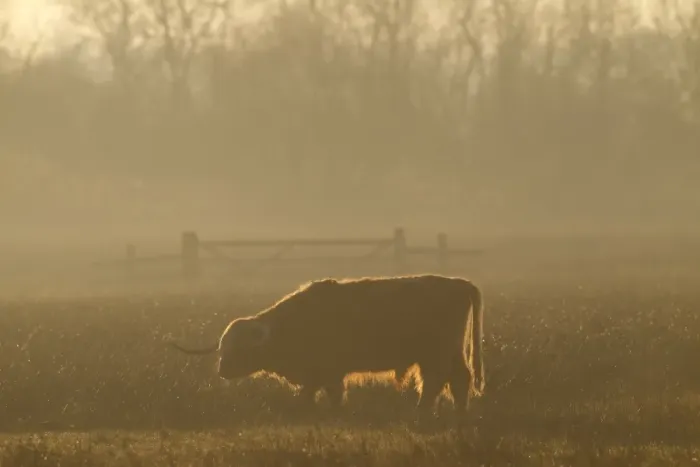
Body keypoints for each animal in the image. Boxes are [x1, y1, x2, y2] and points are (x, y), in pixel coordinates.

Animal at [168, 274, 485, 415]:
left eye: (241, 348)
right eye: (223, 348)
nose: (222, 370)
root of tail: (458, 282)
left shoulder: (330, 372)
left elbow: (332, 394)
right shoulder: (316, 374)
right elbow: (310, 394)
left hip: (438, 352)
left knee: (440, 381)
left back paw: (425, 411)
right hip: (447, 353)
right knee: (456, 380)